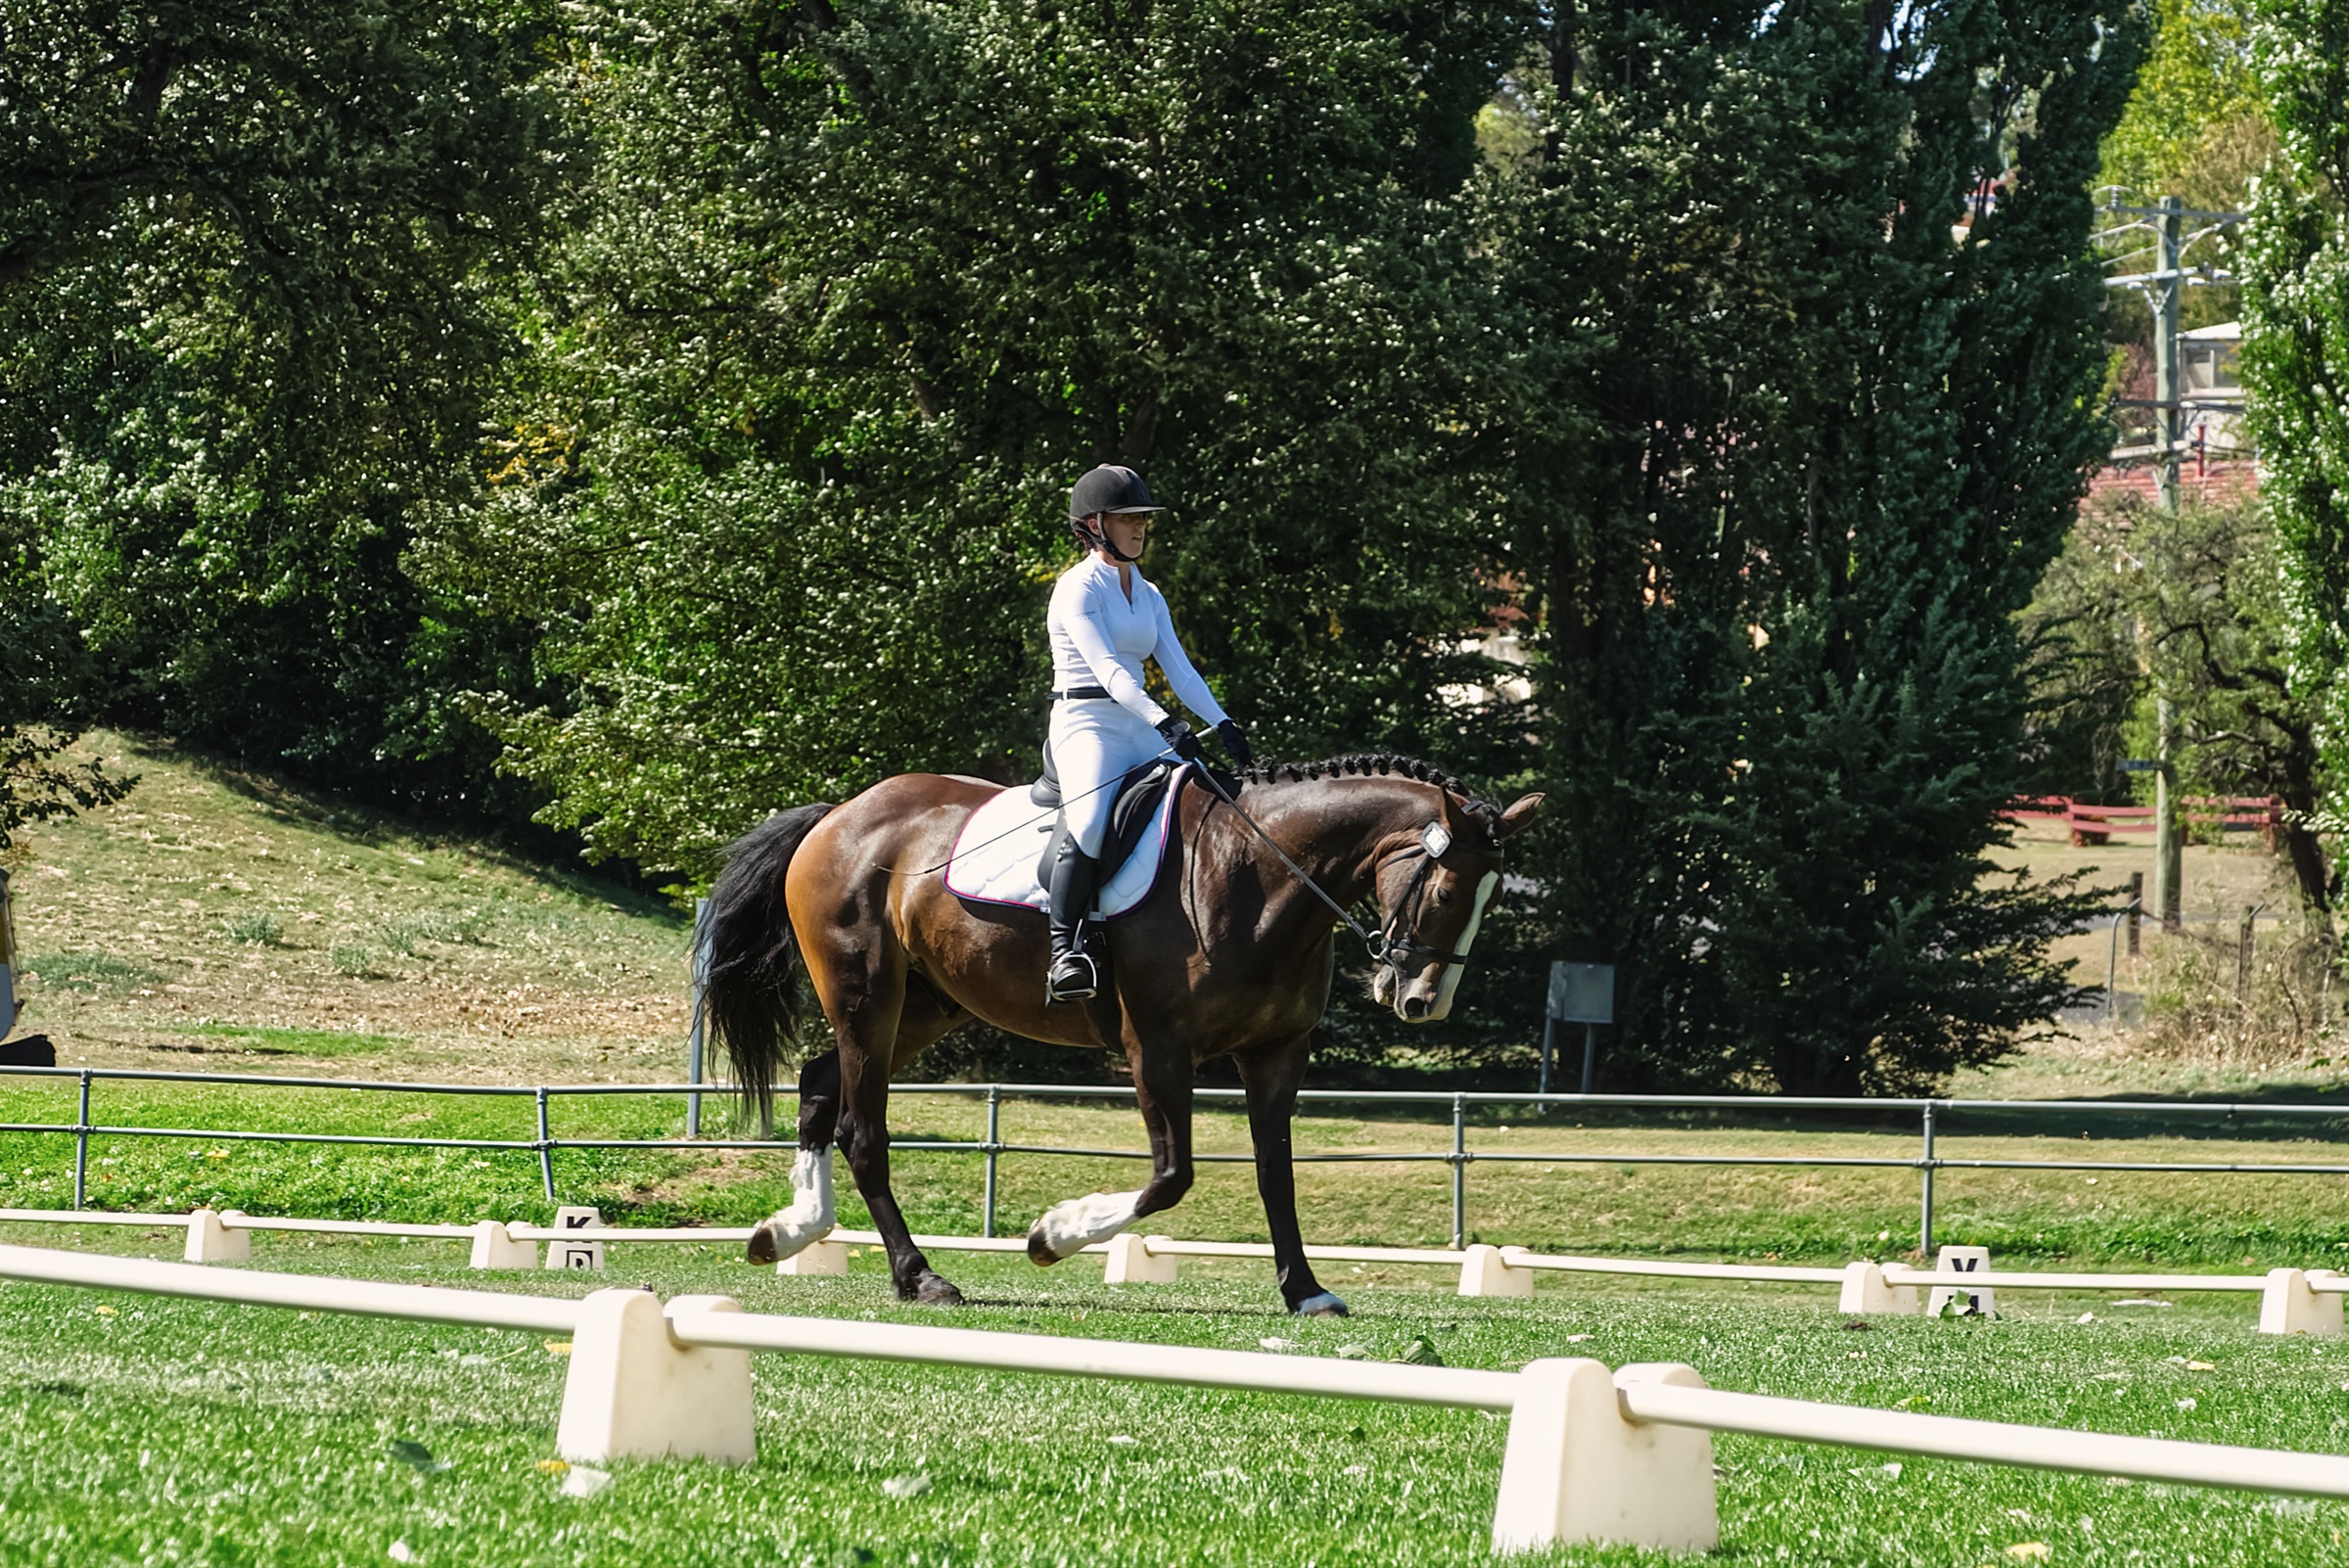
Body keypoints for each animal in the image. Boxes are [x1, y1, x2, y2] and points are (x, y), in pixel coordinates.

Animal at [699, 753, 1542, 1314]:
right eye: (1447, 890)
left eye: (1493, 898)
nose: (1422, 1000)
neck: (1258, 875)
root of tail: (840, 814)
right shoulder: (1158, 1048)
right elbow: (1172, 1175)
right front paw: (1055, 1234)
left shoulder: (1276, 1054)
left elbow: (1276, 1173)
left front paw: (1305, 1290)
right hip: (866, 998)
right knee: (862, 1128)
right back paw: (920, 1276)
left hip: (928, 1005)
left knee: (819, 1088)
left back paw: (790, 1230)